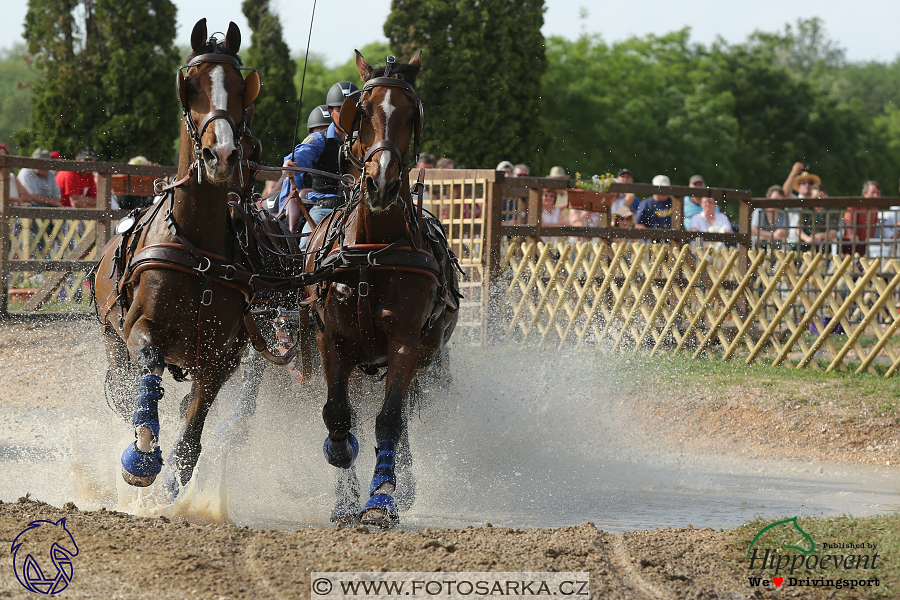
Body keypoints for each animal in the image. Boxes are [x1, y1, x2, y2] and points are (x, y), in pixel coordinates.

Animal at [92, 18, 268, 496]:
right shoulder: (138, 328)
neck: (199, 249)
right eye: (191, 86)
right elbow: (149, 373)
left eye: (242, 89)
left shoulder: (219, 358)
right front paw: (141, 457)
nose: (221, 154)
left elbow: (193, 430)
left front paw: (174, 480)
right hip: (112, 339)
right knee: (125, 392)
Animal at [308, 52, 464, 528]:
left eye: (412, 114)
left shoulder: (404, 341)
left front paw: (381, 498)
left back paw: (401, 483)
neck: (372, 251)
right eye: (362, 110)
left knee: (403, 412)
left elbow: (390, 420)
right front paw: (344, 486)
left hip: (423, 355)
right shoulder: (332, 339)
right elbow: (339, 417)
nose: (382, 183)